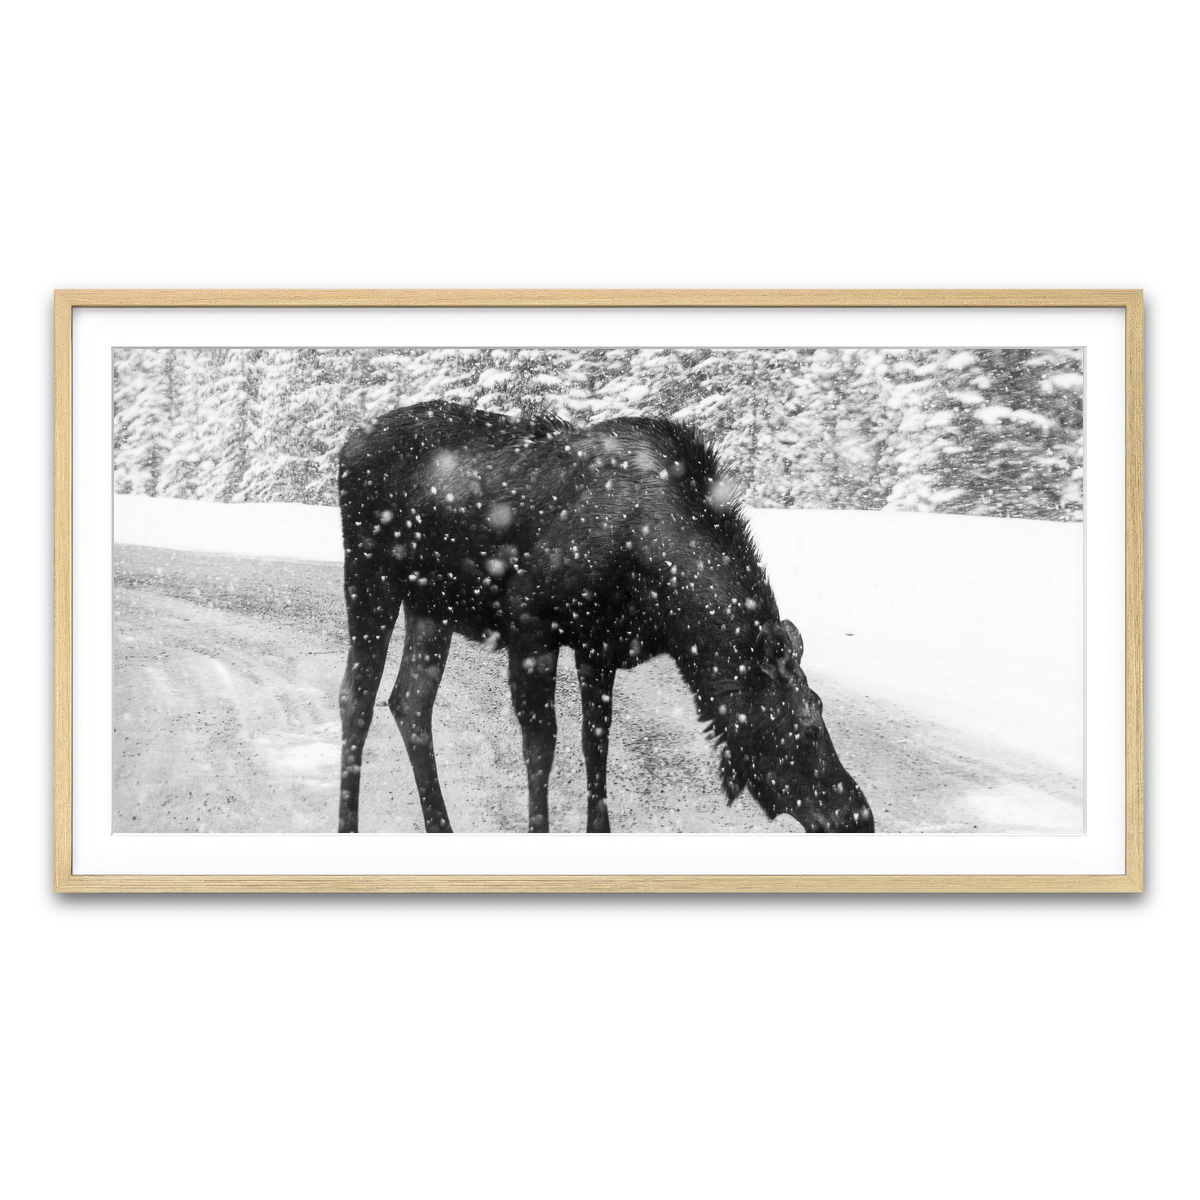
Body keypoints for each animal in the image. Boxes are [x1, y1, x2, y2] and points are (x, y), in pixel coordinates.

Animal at [337, 400, 873, 834]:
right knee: (356, 698)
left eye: (820, 707)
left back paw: (440, 825)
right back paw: (349, 825)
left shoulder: (599, 646)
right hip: (370, 575)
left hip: (432, 605)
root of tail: (346, 445)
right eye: (806, 725)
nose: (858, 816)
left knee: (409, 701)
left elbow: (596, 745)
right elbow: (542, 747)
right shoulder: (531, 625)